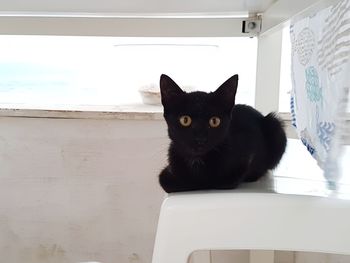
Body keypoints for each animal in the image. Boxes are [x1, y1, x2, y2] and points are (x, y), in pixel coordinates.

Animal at [159, 74, 288, 194]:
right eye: (185, 120)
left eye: (214, 121)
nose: (200, 138)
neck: (197, 161)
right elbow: (165, 180)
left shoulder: (245, 159)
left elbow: (218, 181)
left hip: (275, 125)